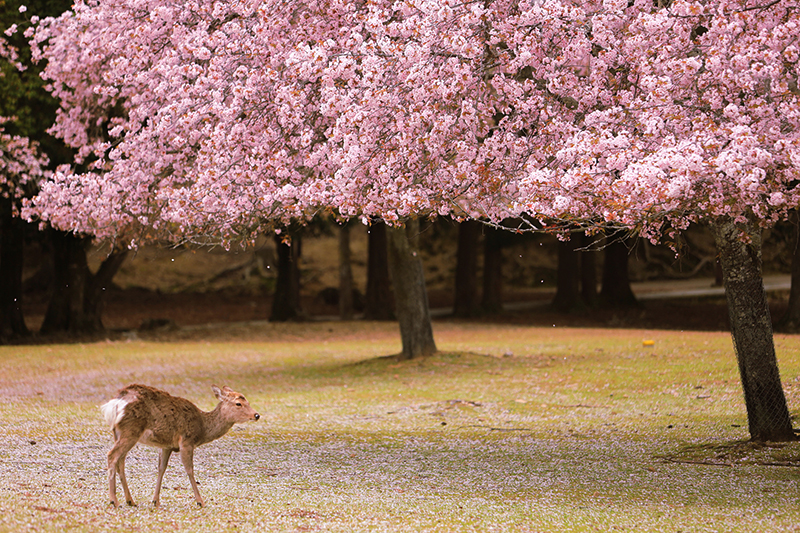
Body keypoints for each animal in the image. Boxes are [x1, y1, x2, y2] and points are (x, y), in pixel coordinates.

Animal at [100, 383, 260, 508]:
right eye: (238, 403)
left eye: (247, 401)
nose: (256, 415)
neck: (202, 428)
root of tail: (115, 403)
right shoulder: (187, 441)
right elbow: (189, 469)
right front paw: (200, 501)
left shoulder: (167, 445)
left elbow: (161, 469)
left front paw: (155, 501)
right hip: (131, 430)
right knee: (112, 455)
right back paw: (114, 501)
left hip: (119, 433)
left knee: (120, 461)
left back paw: (130, 500)